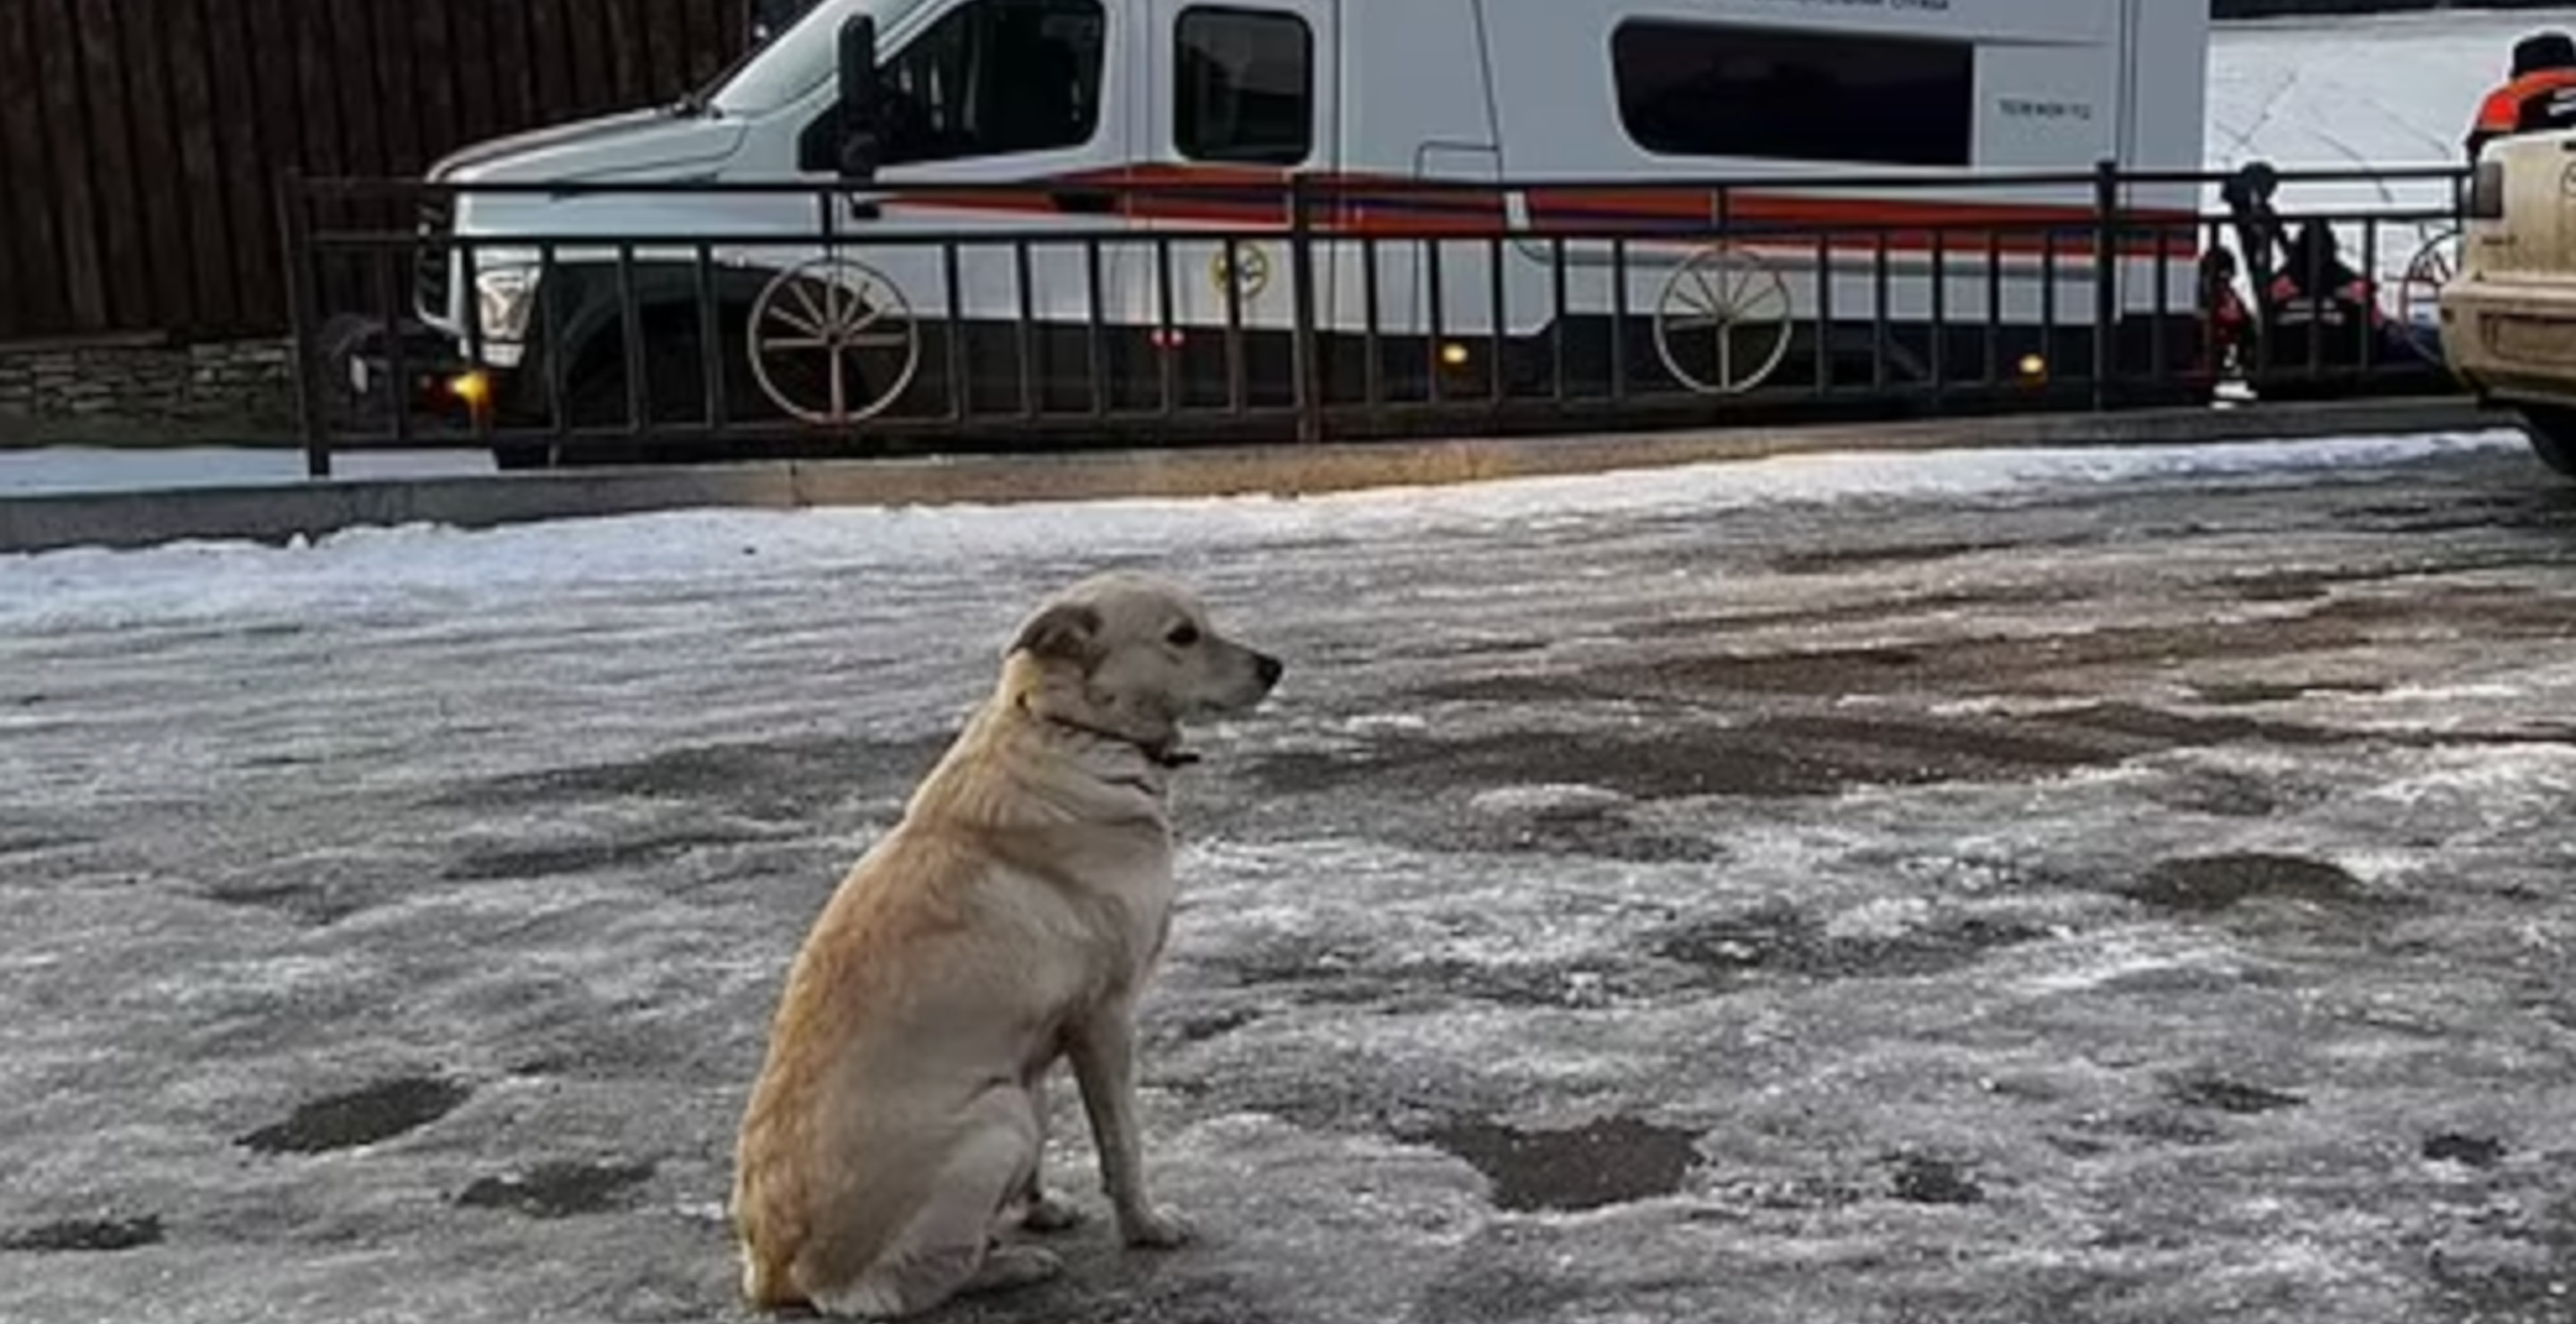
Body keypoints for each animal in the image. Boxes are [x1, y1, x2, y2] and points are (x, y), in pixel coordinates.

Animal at [731, 572, 1283, 1313]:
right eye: (1182, 636)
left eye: (1205, 622)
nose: (1274, 666)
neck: (1073, 729)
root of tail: (777, 1275)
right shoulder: (1106, 1017)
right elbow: (1124, 1145)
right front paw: (1144, 1226)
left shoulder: (1039, 1039)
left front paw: (1040, 1206)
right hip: (998, 1119)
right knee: (895, 1290)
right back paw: (1010, 1265)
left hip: (1011, 1100)